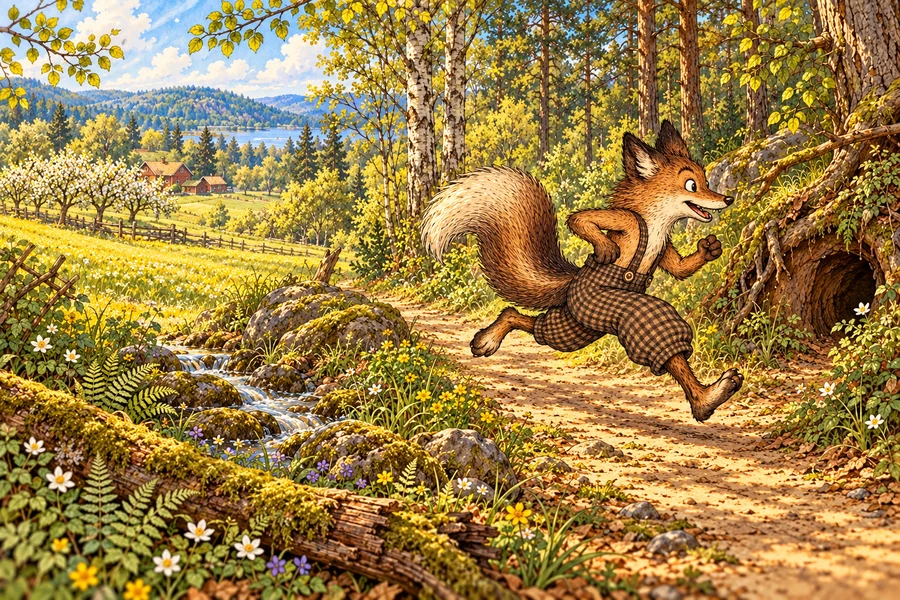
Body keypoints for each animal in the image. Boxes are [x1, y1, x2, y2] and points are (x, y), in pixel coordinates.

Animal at [421, 120, 743, 422]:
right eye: (691, 185)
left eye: (706, 180)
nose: (727, 199)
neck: (655, 224)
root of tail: (570, 284)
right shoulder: (626, 221)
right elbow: (579, 220)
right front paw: (605, 249)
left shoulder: (665, 250)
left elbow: (678, 268)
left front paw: (710, 249)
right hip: (584, 314)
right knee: (518, 316)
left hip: (572, 328)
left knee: (528, 321)